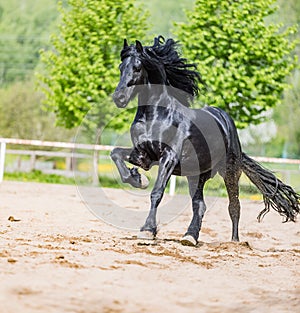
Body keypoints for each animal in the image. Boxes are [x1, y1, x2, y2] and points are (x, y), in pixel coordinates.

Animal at [110, 37, 300, 244]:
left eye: (137, 68)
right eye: (121, 67)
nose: (119, 98)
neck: (156, 115)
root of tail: (225, 120)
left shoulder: (168, 157)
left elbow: (157, 192)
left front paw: (147, 230)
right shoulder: (144, 155)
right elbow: (115, 154)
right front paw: (139, 179)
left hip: (229, 171)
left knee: (234, 205)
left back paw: (234, 242)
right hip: (196, 175)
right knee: (200, 204)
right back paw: (190, 236)